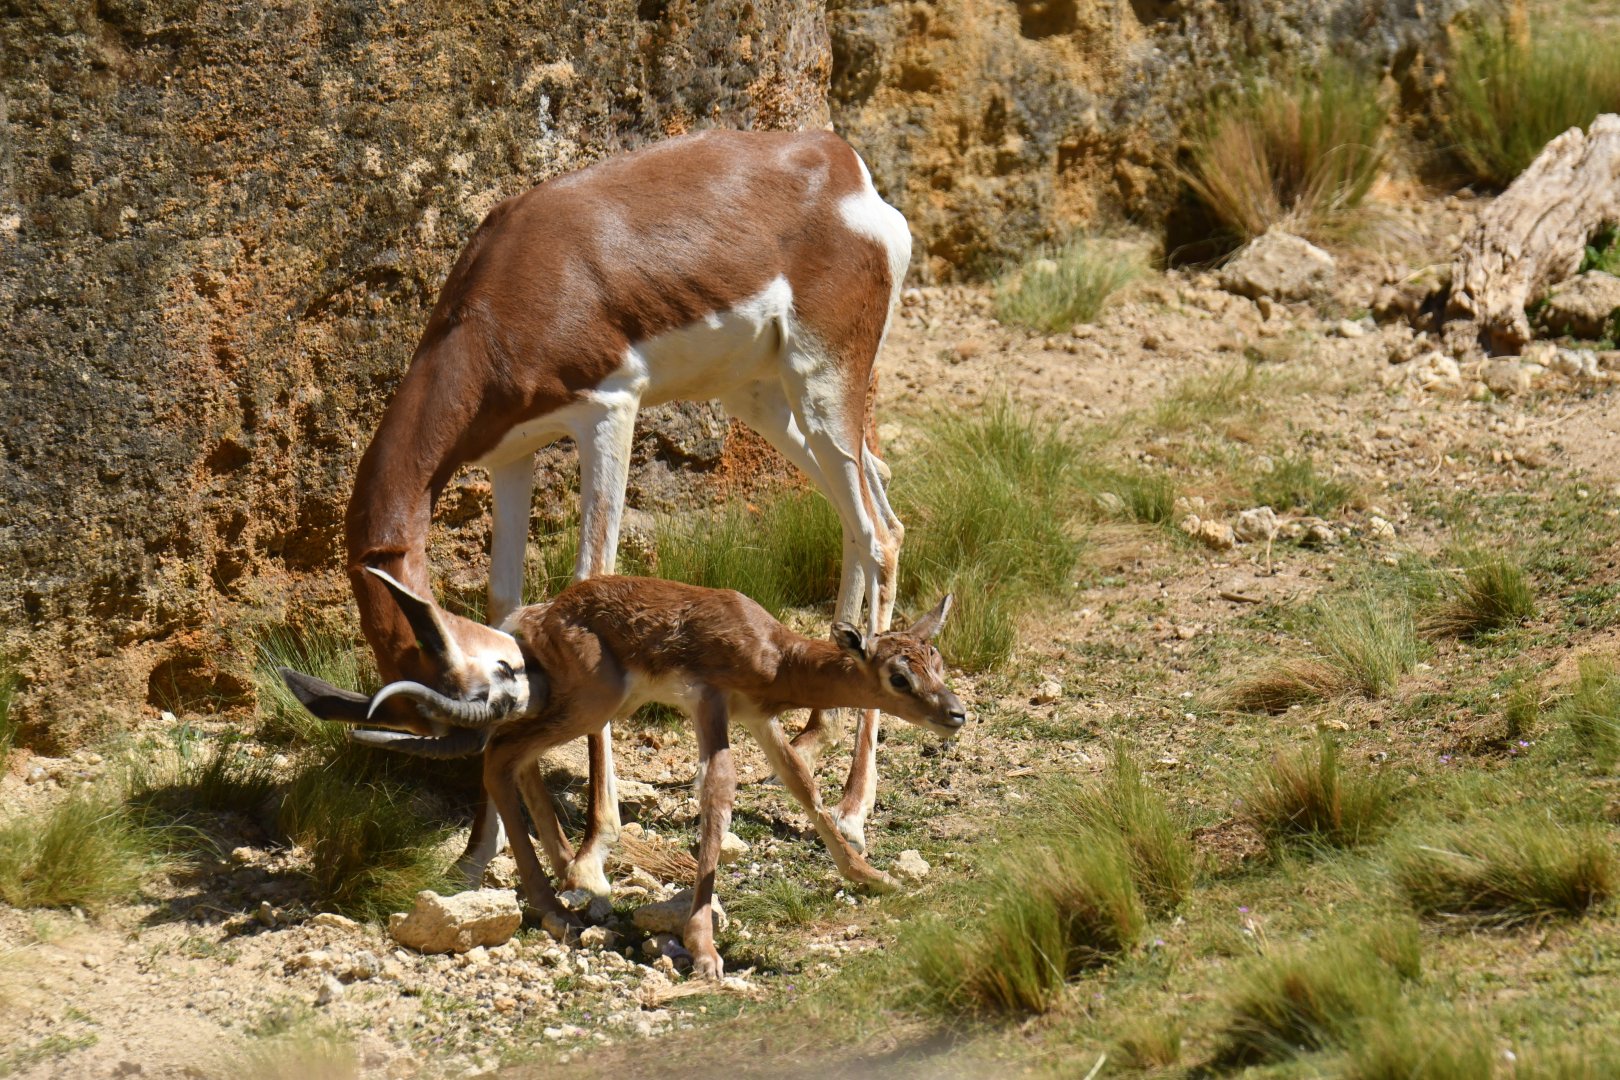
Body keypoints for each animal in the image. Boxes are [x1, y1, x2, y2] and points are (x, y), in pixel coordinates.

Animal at [290, 569, 965, 980]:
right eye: (898, 676)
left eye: (935, 659)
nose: (956, 714)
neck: (773, 651)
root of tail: (534, 618)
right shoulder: (711, 704)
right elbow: (718, 795)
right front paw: (705, 950)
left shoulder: (758, 718)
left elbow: (801, 783)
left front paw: (875, 877)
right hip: (596, 703)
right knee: (499, 755)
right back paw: (557, 908)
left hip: (570, 703)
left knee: (509, 755)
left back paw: (576, 881)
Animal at [310, 129, 912, 896]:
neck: (507, 296)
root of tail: (843, 167)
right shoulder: (511, 455)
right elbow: (505, 597)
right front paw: (477, 855)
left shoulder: (608, 410)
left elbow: (592, 576)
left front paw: (594, 850)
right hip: (763, 397)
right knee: (868, 510)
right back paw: (812, 730)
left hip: (823, 382)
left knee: (877, 533)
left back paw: (856, 806)